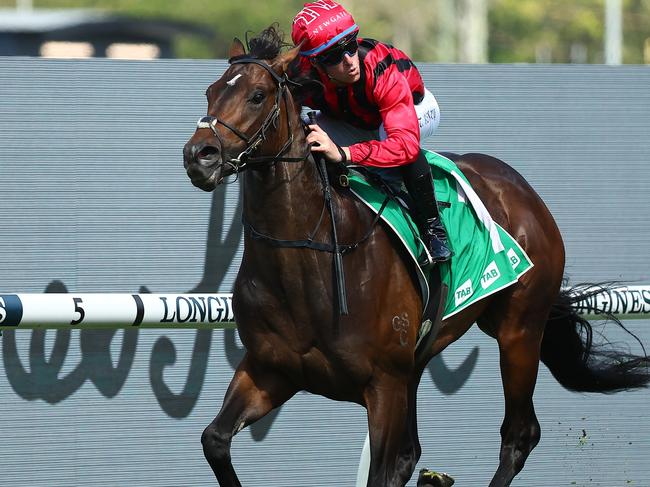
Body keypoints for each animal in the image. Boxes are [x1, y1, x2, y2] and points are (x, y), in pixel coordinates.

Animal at [180, 30, 644, 487]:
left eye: (257, 96)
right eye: (210, 92)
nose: (199, 155)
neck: (308, 259)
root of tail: (523, 189)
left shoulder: (384, 385)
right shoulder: (270, 370)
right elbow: (214, 440)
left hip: (520, 330)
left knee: (520, 434)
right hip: (421, 362)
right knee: (412, 453)